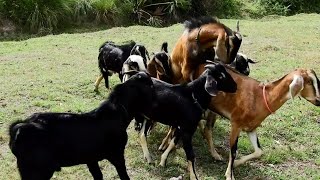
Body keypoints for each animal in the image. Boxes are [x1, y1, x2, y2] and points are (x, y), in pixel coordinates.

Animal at [9, 72, 154, 180]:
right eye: (151, 85)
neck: (117, 111)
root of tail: (18, 129)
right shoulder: (117, 155)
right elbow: (124, 176)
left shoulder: (91, 159)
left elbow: (98, 176)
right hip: (37, 171)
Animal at [192, 65, 320, 179]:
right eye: (309, 82)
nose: (318, 100)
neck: (261, 98)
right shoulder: (236, 124)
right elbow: (233, 151)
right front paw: (229, 175)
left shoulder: (251, 128)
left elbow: (259, 151)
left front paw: (236, 163)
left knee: (207, 129)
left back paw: (215, 154)